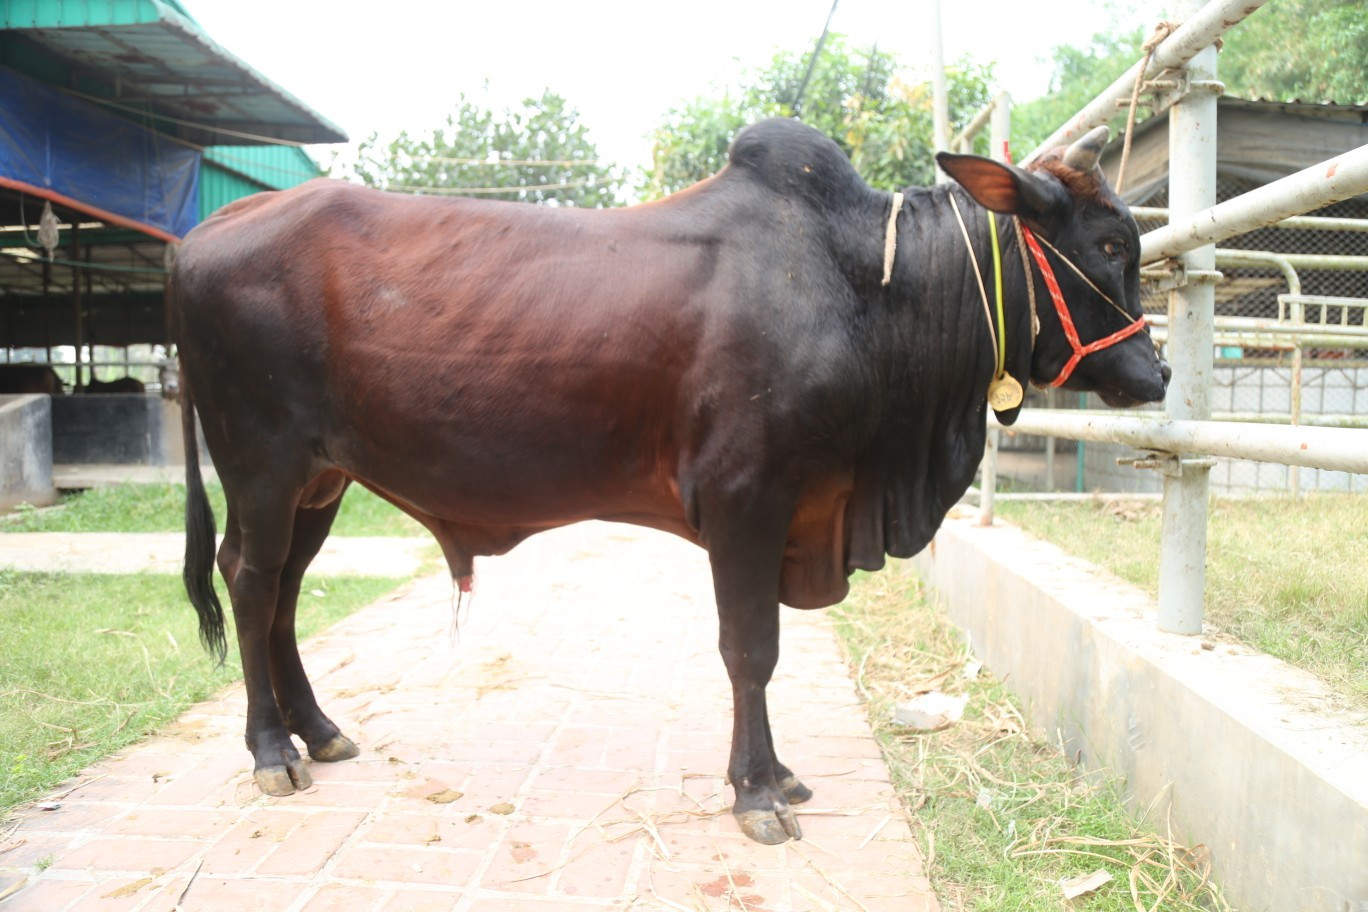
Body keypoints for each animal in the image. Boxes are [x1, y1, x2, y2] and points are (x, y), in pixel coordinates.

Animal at [170, 118, 1168, 845]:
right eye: (1112, 244)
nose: (1156, 374)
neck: (867, 287)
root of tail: (198, 242)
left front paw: (776, 776)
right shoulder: (746, 498)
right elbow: (751, 649)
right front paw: (759, 792)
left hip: (320, 480)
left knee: (281, 591)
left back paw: (319, 730)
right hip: (263, 465)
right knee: (251, 583)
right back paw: (271, 749)